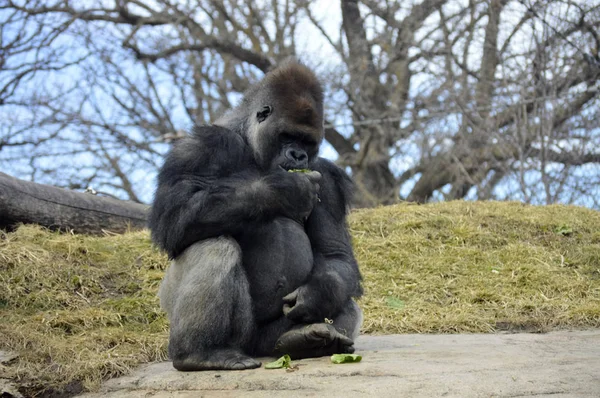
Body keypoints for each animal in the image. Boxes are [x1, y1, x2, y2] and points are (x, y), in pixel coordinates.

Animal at [150, 59, 366, 374]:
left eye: (307, 141)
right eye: (287, 136)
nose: (299, 156)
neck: (250, 144)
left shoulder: (326, 178)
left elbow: (335, 256)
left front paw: (317, 295)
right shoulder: (201, 147)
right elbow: (172, 217)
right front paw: (284, 190)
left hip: (266, 340)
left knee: (343, 299)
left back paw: (301, 340)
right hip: (233, 335)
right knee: (214, 245)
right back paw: (199, 353)